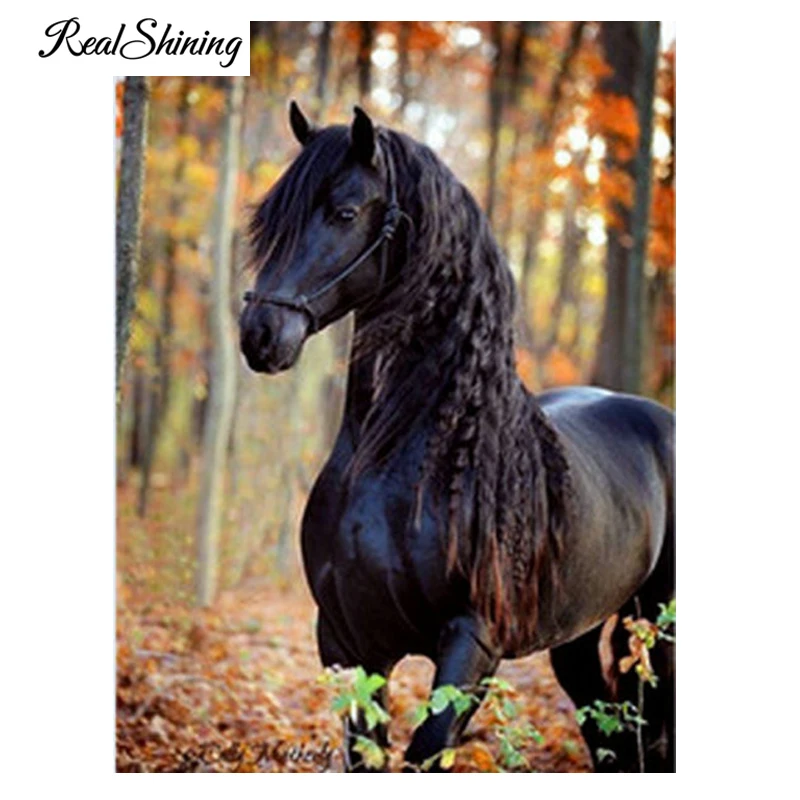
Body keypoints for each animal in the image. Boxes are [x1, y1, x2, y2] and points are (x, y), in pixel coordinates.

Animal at [239, 102, 675, 772]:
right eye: (270, 217)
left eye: (345, 212)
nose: (260, 334)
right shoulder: (346, 642)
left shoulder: (472, 643)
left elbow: (425, 750)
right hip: (576, 637)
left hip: (658, 622)